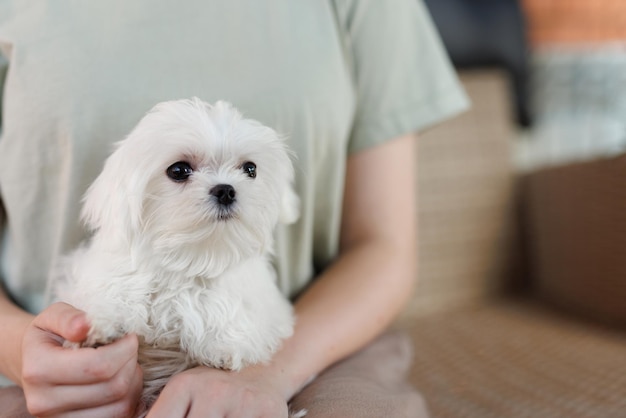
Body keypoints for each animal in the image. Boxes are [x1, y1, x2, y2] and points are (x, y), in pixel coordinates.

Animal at [51, 97, 300, 412]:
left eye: (250, 169)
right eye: (179, 170)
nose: (226, 190)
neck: (191, 256)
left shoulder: (262, 308)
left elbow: (229, 311)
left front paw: (222, 343)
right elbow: (114, 294)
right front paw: (104, 322)